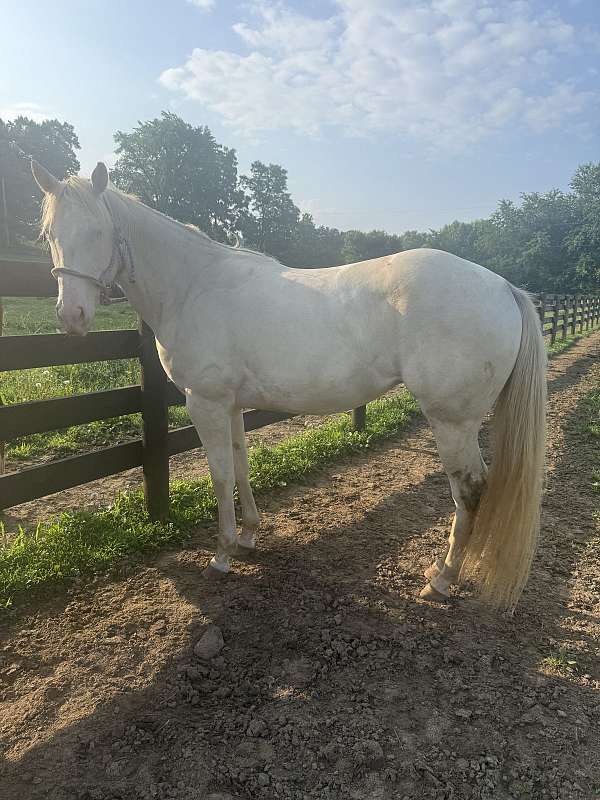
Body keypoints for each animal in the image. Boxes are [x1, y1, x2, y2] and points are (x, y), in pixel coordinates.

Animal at [31, 159, 546, 611]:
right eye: (50, 236)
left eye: (97, 232)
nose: (71, 317)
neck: (194, 286)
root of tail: (502, 287)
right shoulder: (231, 405)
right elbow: (240, 466)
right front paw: (248, 536)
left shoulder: (205, 403)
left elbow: (219, 475)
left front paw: (221, 555)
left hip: (451, 421)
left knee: (471, 490)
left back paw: (441, 579)